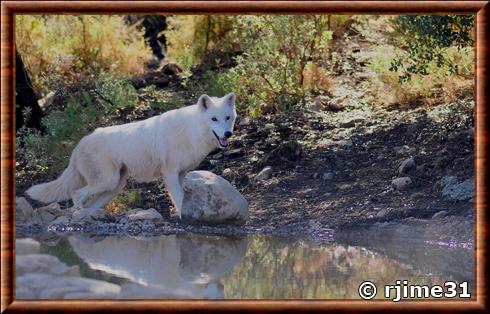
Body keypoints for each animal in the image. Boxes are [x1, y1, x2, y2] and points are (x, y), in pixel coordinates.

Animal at [26, 92, 237, 217]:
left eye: (228, 118)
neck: (191, 131)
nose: (228, 134)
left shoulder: (181, 173)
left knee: (88, 202)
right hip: (107, 182)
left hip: (112, 187)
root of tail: (78, 146)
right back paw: (78, 215)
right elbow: (178, 198)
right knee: (76, 193)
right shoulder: (169, 173)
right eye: (214, 119)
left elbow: (182, 197)